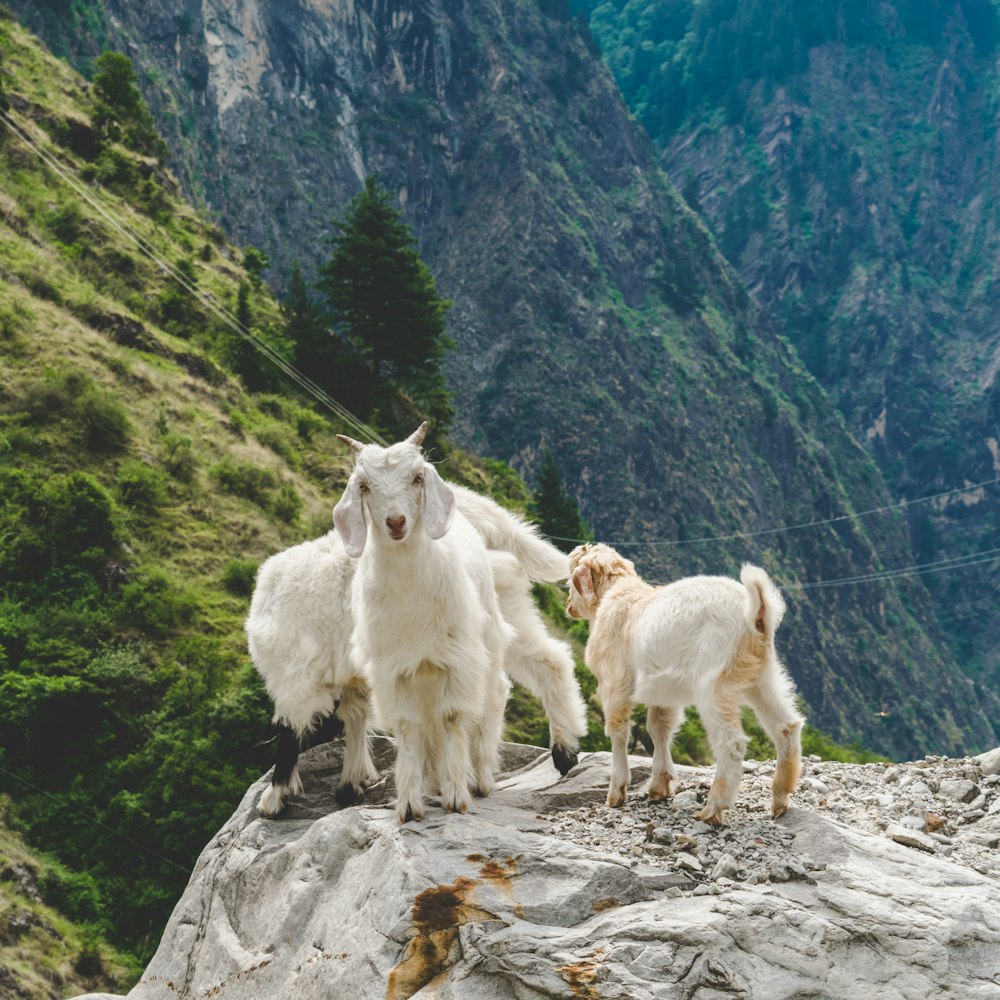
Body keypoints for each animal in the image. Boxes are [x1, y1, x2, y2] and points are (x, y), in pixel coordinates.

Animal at [336, 422, 516, 820]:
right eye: (364, 486)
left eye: (417, 477)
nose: (396, 522)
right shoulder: (392, 669)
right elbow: (407, 727)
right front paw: (408, 803)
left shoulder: (458, 658)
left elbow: (453, 718)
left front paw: (456, 796)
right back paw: (433, 782)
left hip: (488, 646)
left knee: (491, 699)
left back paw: (481, 779)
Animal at [568, 544, 800, 824]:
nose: (569, 606)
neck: (620, 594)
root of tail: (754, 612)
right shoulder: (661, 690)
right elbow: (659, 728)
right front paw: (659, 787)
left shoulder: (614, 683)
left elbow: (618, 731)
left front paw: (616, 794)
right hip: (763, 677)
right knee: (785, 726)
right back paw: (780, 799)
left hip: (714, 683)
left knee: (731, 742)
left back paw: (713, 809)